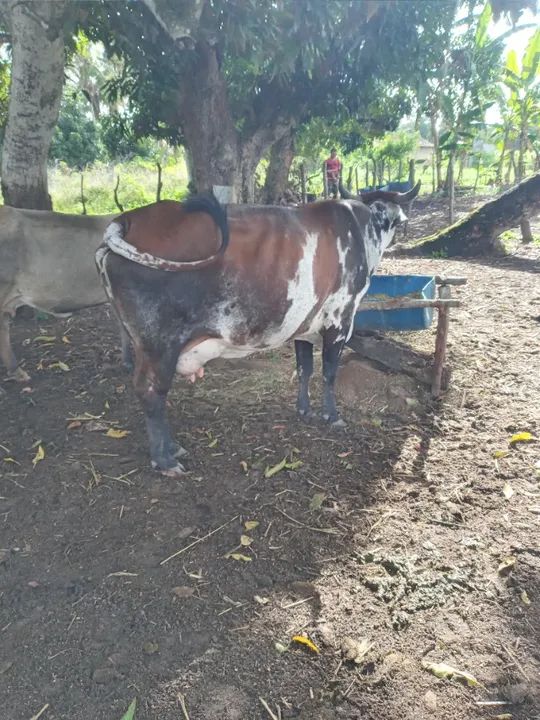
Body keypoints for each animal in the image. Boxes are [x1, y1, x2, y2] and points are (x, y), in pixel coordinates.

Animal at [96, 183, 420, 477]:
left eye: (391, 218)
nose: (384, 230)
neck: (359, 228)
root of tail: (128, 219)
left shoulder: (304, 325)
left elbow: (304, 369)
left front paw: (304, 409)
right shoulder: (340, 319)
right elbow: (329, 373)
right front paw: (332, 416)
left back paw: (173, 449)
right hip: (159, 344)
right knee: (151, 391)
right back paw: (165, 459)